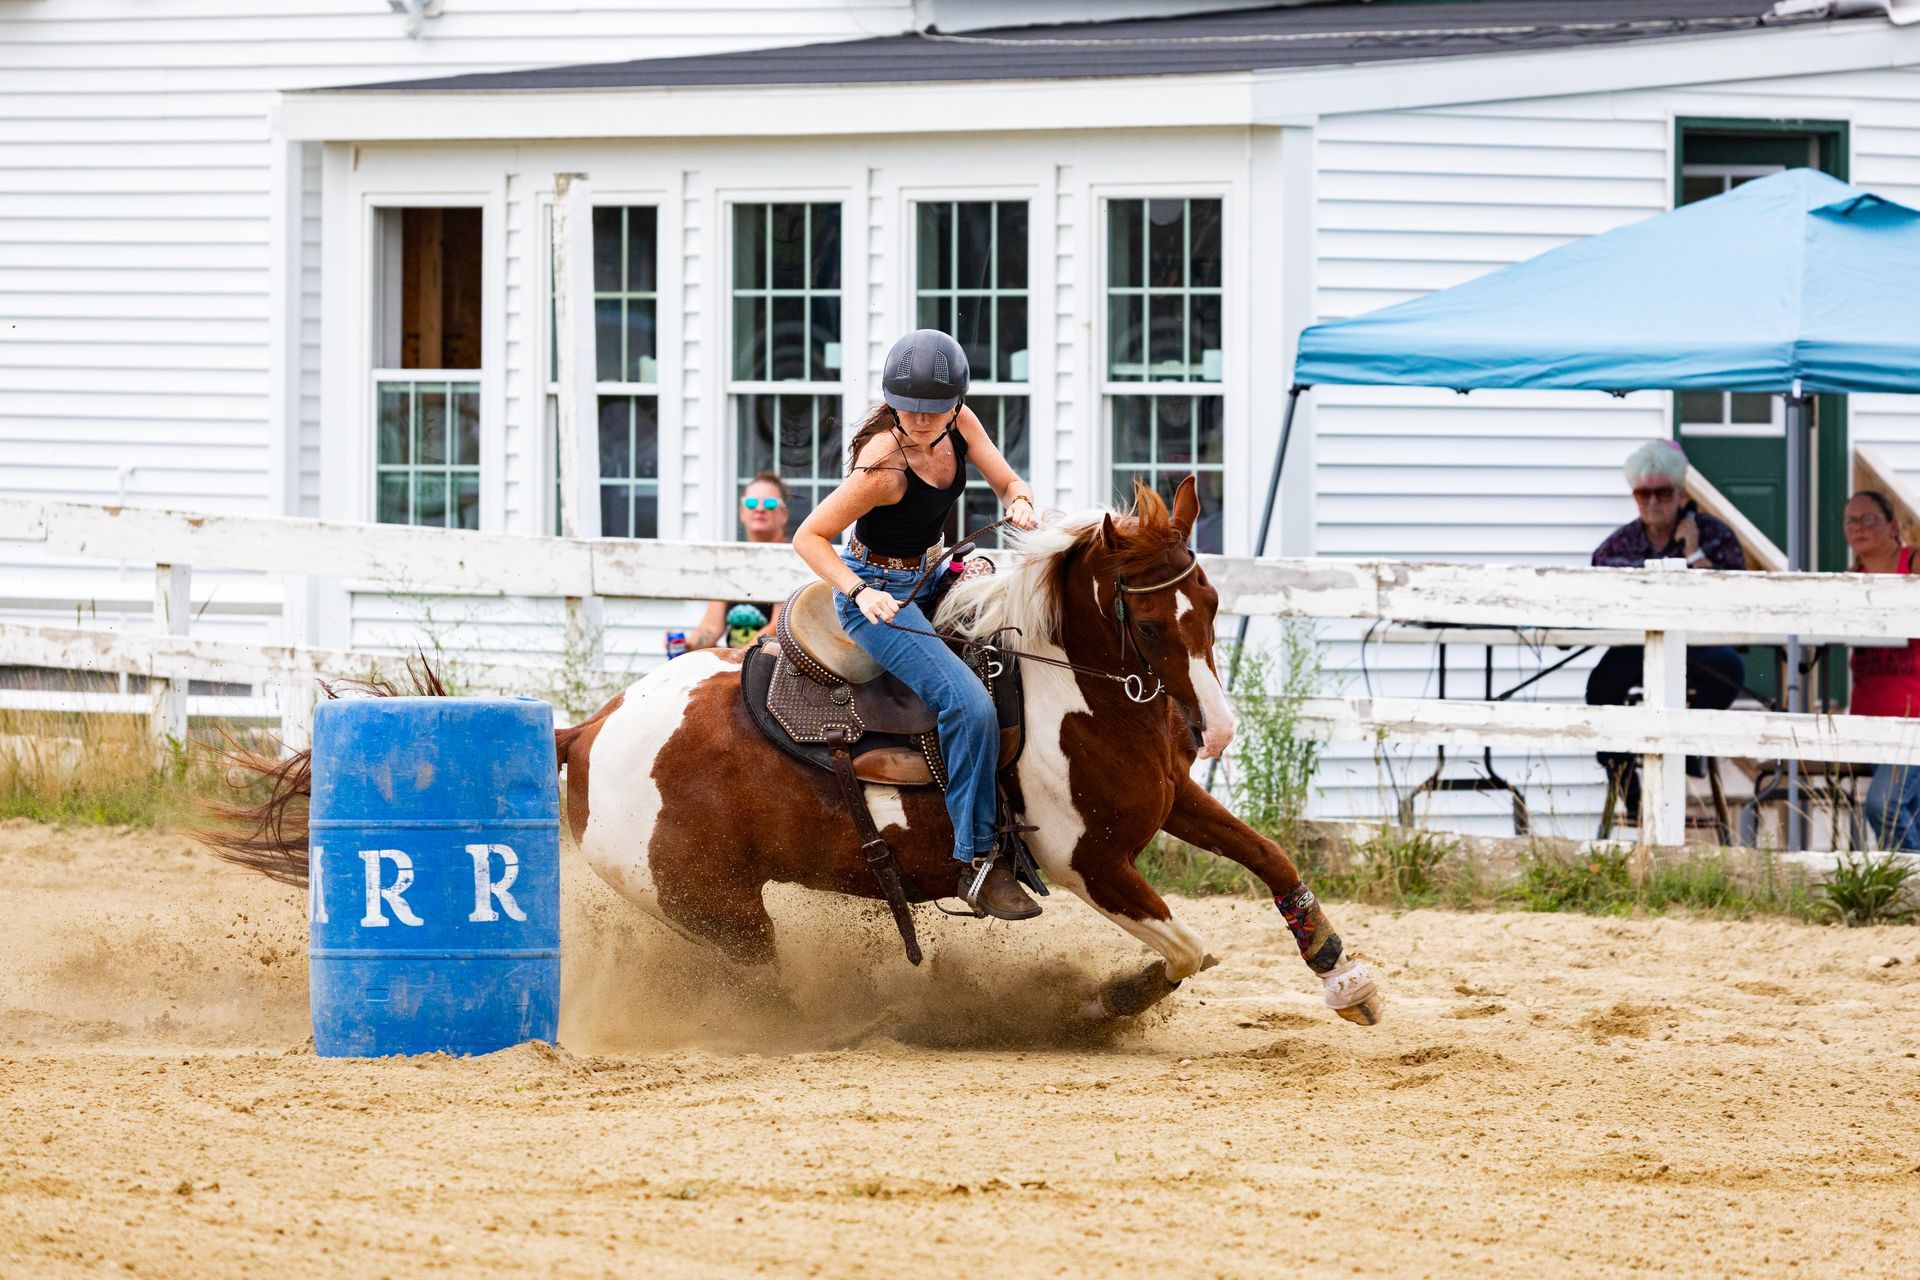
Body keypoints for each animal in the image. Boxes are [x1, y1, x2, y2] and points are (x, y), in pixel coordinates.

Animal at [210, 476, 1382, 1028]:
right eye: (1144, 617)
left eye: (1211, 602)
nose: (1214, 729)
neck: (1067, 687)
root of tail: (585, 730)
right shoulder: (1084, 858)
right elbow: (1188, 951)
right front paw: (1109, 1000)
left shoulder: (1164, 805)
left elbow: (1274, 860)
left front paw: (1346, 978)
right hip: (717, 908)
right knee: (762, 990)